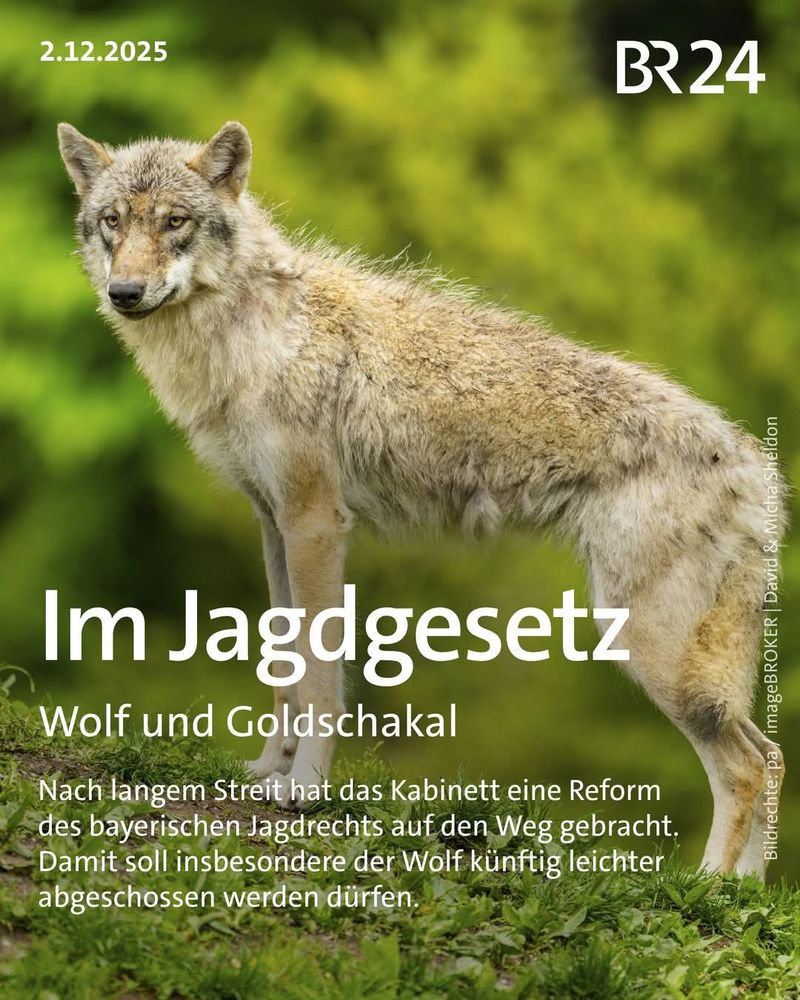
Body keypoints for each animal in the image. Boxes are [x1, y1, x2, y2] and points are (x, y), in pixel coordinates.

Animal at [58, 120, 785, 877]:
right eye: (113, 222)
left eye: (175, 222)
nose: (125, 291)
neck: (253, 339)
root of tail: (751, 463)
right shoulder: (272, 523)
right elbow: (284, 666)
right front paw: (268, 771)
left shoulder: (317, 523)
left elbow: (319, 675)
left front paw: (305, 788)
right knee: (772, 756)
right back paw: (745, 898)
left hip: (648, 647)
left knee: (745, 767)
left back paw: (705, 892)